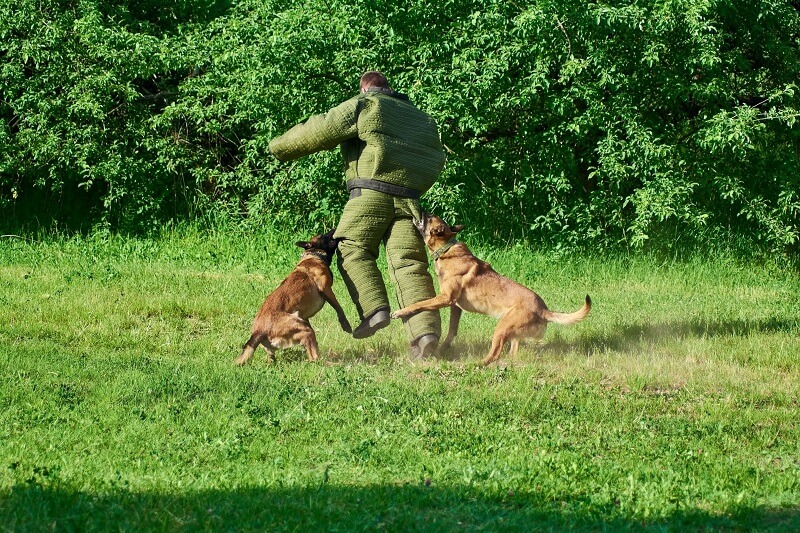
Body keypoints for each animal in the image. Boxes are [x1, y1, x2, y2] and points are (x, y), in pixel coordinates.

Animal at [236, 230, 352, 366]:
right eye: (324, 235)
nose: (334, 229)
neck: (314, 255)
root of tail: (258, 332)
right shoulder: (326, 289)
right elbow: (339, 308)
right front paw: (345, 324)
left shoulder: (304, 317)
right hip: (305, 331)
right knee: (314, 358)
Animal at [390, 212, 592, 366]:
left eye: (430, 217)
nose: (421, 209)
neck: (446, 250)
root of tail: (543, 310)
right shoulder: (455, 306)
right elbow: (452, 331)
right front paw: (443, 348)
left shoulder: (445, 298)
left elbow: (419, 304)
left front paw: (400, 312)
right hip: (512, 332)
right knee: (511, 353)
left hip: (501, 328)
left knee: (494, 354)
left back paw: (477, 364)